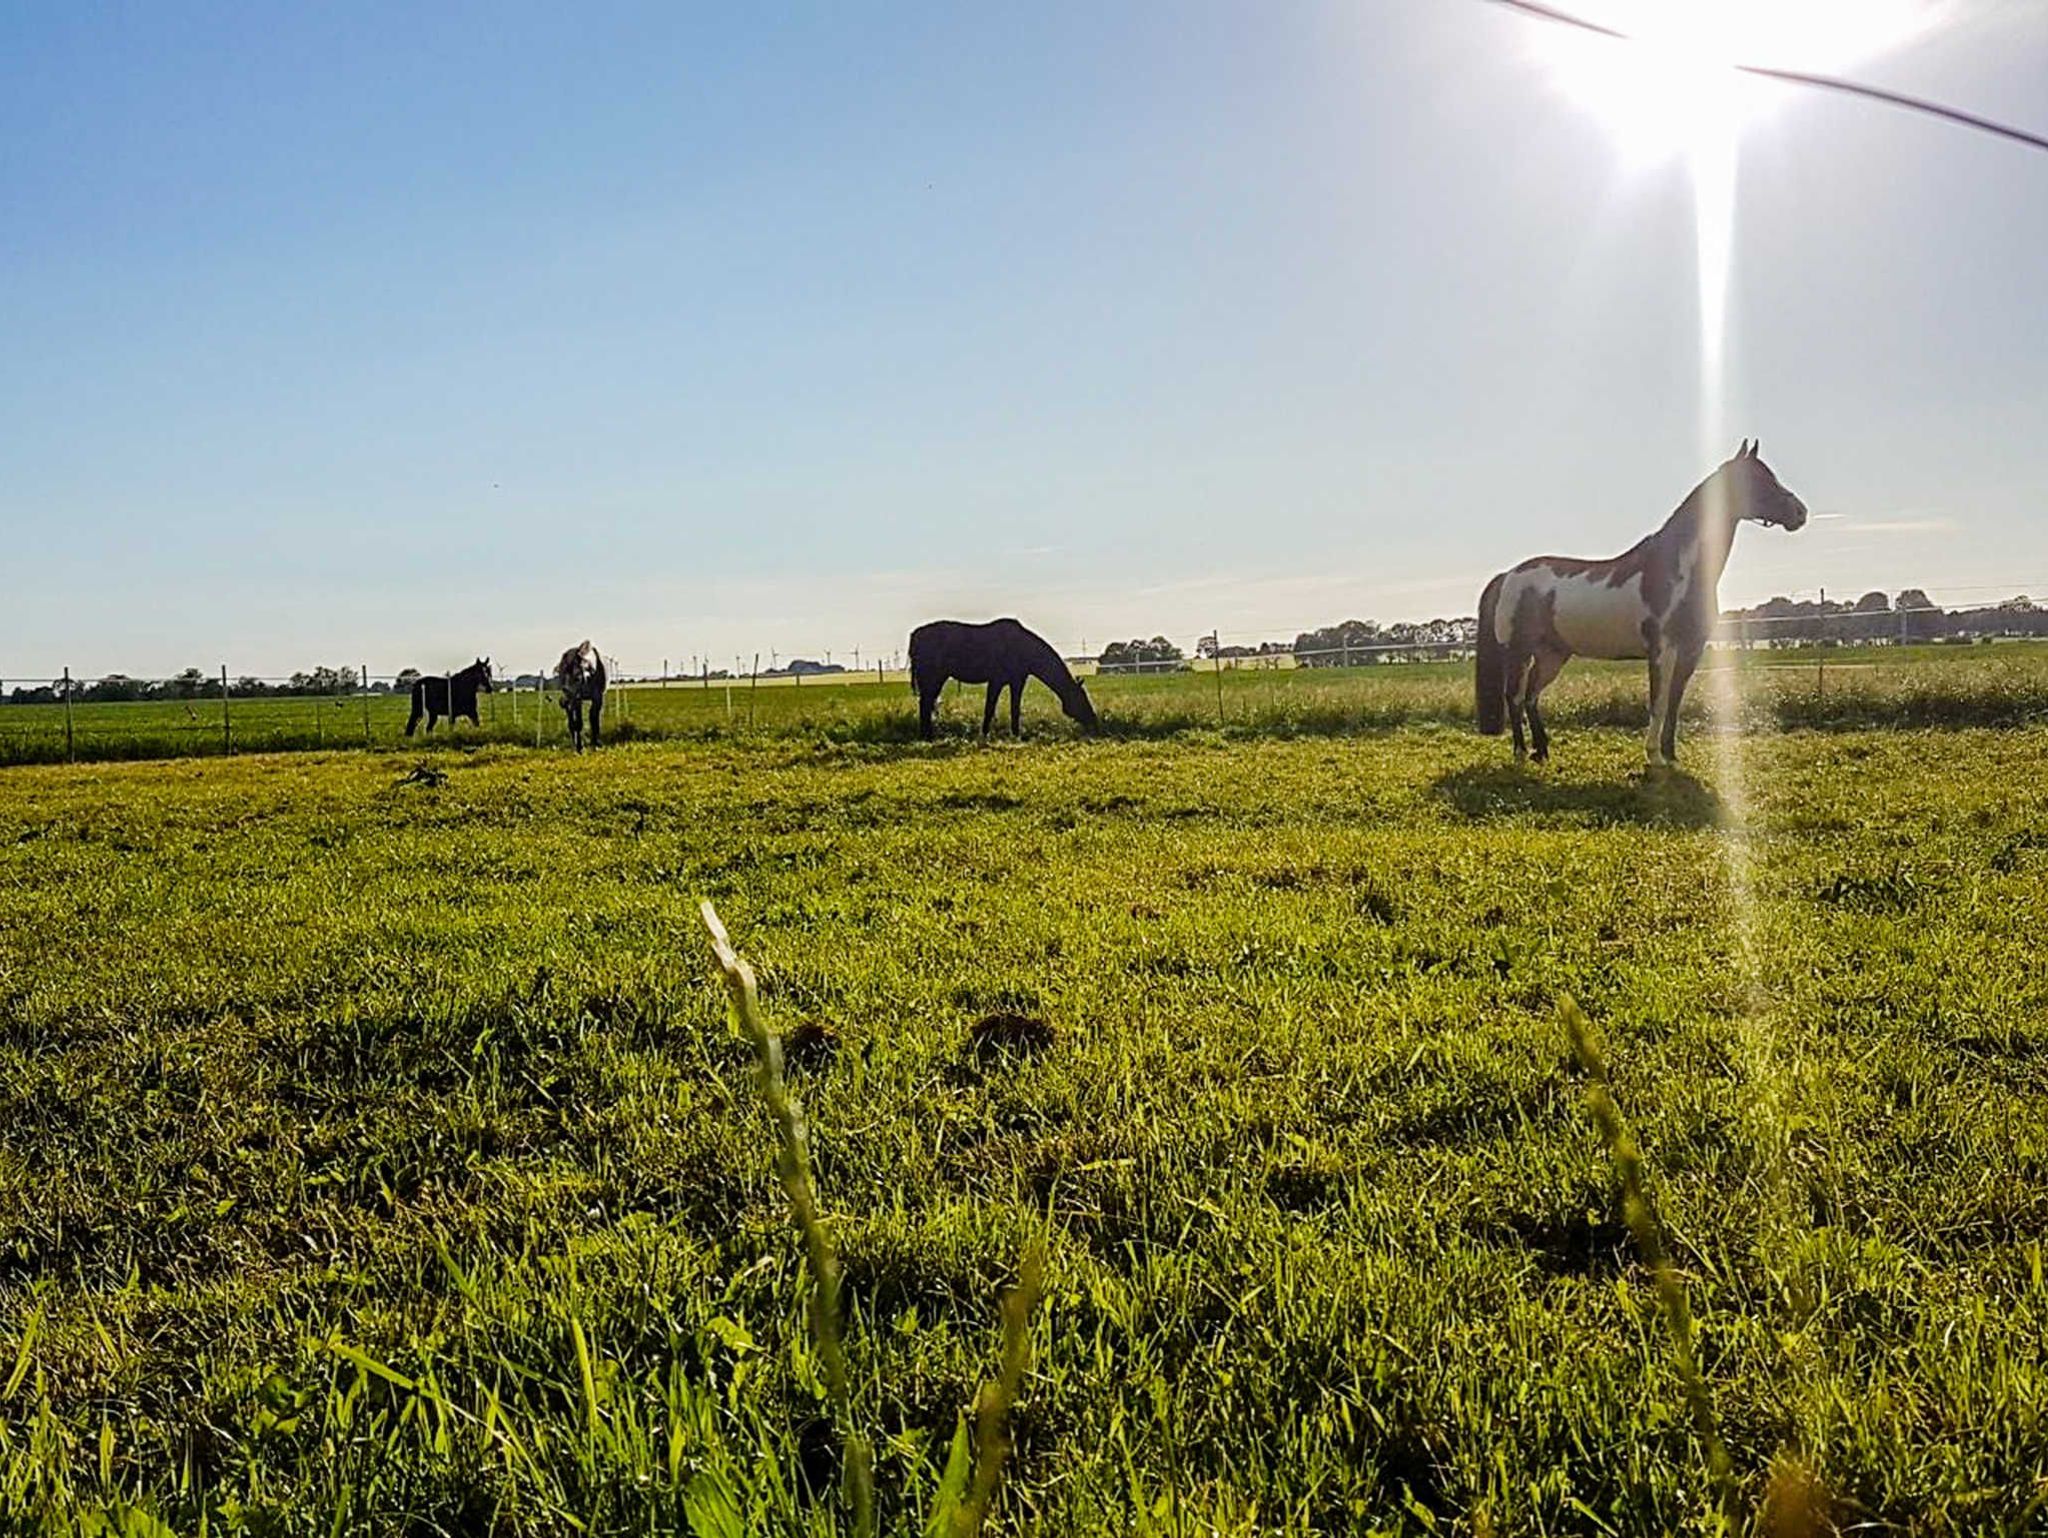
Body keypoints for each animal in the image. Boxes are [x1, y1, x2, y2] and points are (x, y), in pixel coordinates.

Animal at [913, 618, 1105, 741]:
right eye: (1081, 698)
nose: (1095, 725)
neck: (1022, 647)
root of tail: (916, 635)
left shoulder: (1017, 682)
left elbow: (1015, 709)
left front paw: (1016, 735)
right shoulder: (996, 681)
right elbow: (989, 709)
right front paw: (985, 735)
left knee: (927, 704)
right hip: (934, 679)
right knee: (925, 705)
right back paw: (927, 737)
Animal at [1474, 444, 1810, 770]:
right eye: (1758, 479)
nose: (1800, 512)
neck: (1679, 571)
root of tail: (1508, 575)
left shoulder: (1691, 651)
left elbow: (1674, 703)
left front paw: (1671, 755)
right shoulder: (1662, 650)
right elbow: (1657, 703)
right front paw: (1654, 755)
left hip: (1552, 655)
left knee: (1532, 697)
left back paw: (1542, 751)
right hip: (1519, 651)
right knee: (1514, 697)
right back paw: (1521, 752)